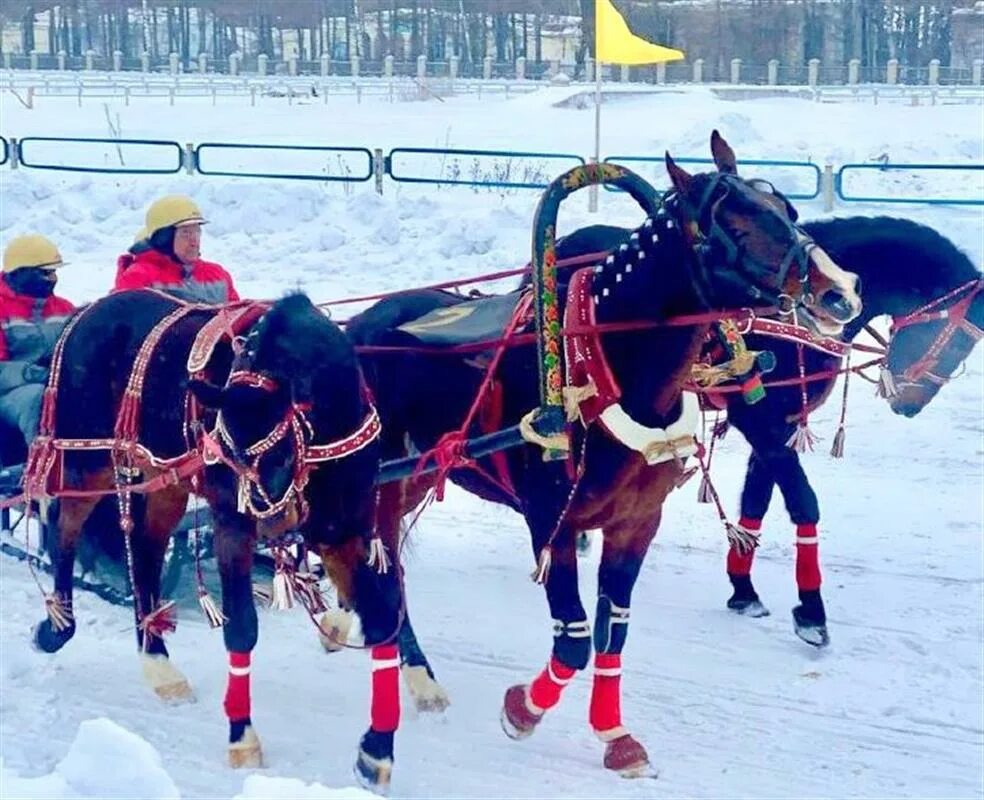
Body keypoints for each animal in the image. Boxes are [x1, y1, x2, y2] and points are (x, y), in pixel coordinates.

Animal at [24, 290, 400, 792]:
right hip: (89, 461)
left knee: (143, 550)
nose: (274, 524)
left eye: (282, 454)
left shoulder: (341, 529)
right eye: (229, 452)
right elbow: (241, 625)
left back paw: (157, 662)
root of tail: (88, 311)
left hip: (163, 478)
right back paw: (58, 626)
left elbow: (381, 618)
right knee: (64, 533)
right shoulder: (231, 523)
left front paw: (376, 750)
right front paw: (242, 738)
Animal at [338, 134, 860, 780]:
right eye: (736, 224)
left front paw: (615, 734)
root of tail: (358, 327)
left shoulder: (635, 523)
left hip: (415, 474)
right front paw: (524, 709)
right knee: (384, 573)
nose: (840, 290)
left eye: (786, 210)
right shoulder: (551, 524)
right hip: (381, 484)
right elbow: (573, 637)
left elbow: (613, 633)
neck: (605, 363)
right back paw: (408, 674)